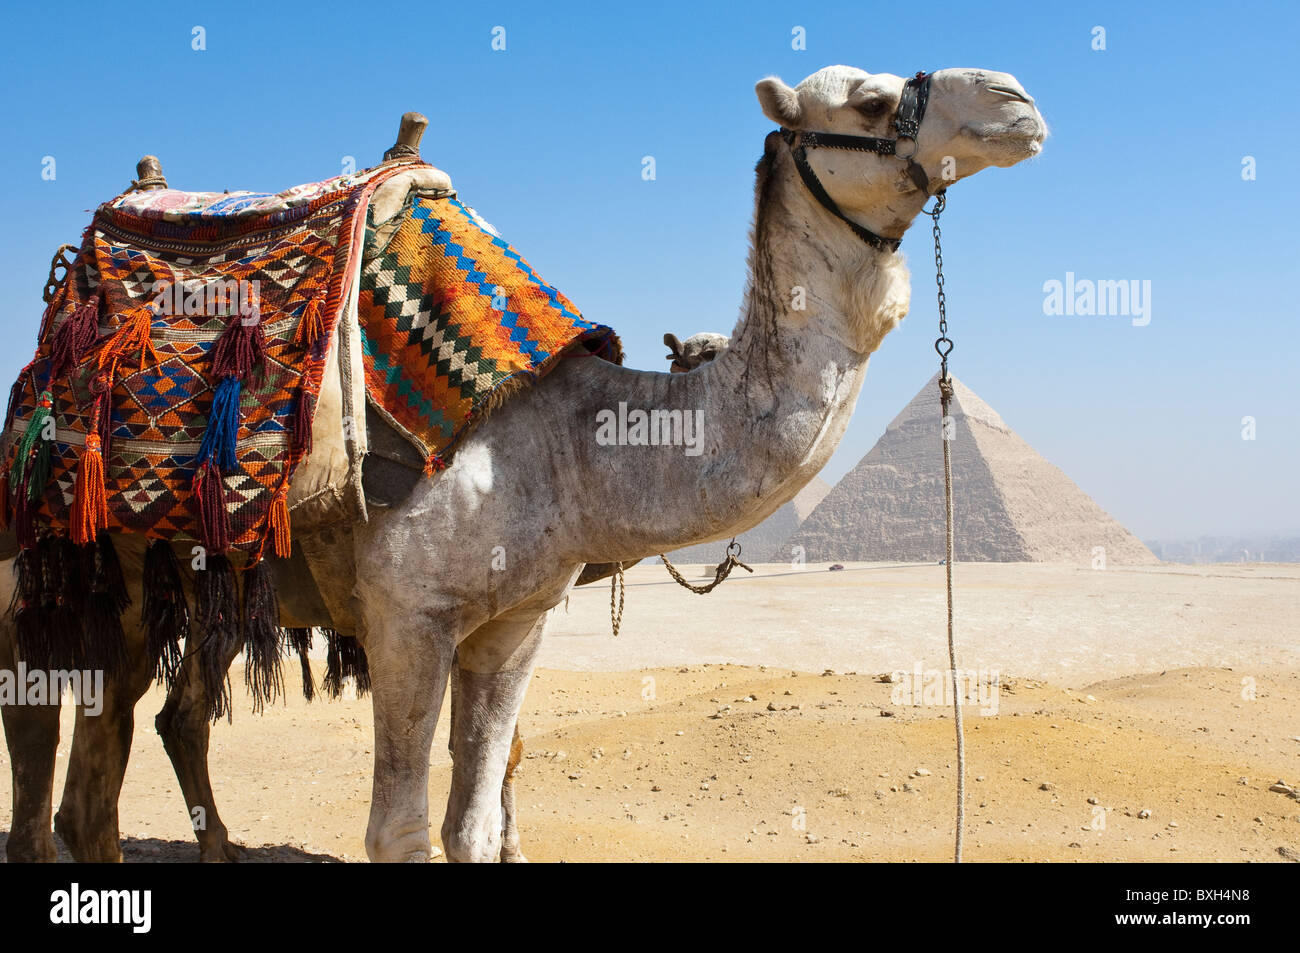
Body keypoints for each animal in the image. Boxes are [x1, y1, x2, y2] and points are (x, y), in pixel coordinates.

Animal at [1, 64, 1044, 863]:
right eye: (869, 101)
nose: (1018, 101)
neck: (572, 444)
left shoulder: (516, 623)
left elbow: (472, 818)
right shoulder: (409, 615)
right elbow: (399, 831)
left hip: (146, 587)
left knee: (107, 763)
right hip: (33, 568)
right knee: (43, 735)